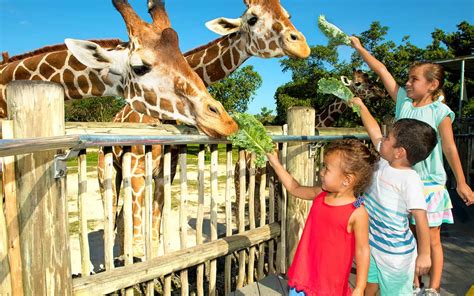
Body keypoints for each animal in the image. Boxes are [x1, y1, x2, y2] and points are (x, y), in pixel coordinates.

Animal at [97, 0, 310, 256]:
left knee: (122, 220)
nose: (301, 45)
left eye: (288, 14)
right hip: (107, 171)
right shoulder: (137, 169)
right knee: (112, 216)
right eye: (252, 19)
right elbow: (140, 243)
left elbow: (154, 235)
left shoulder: (165, 173)